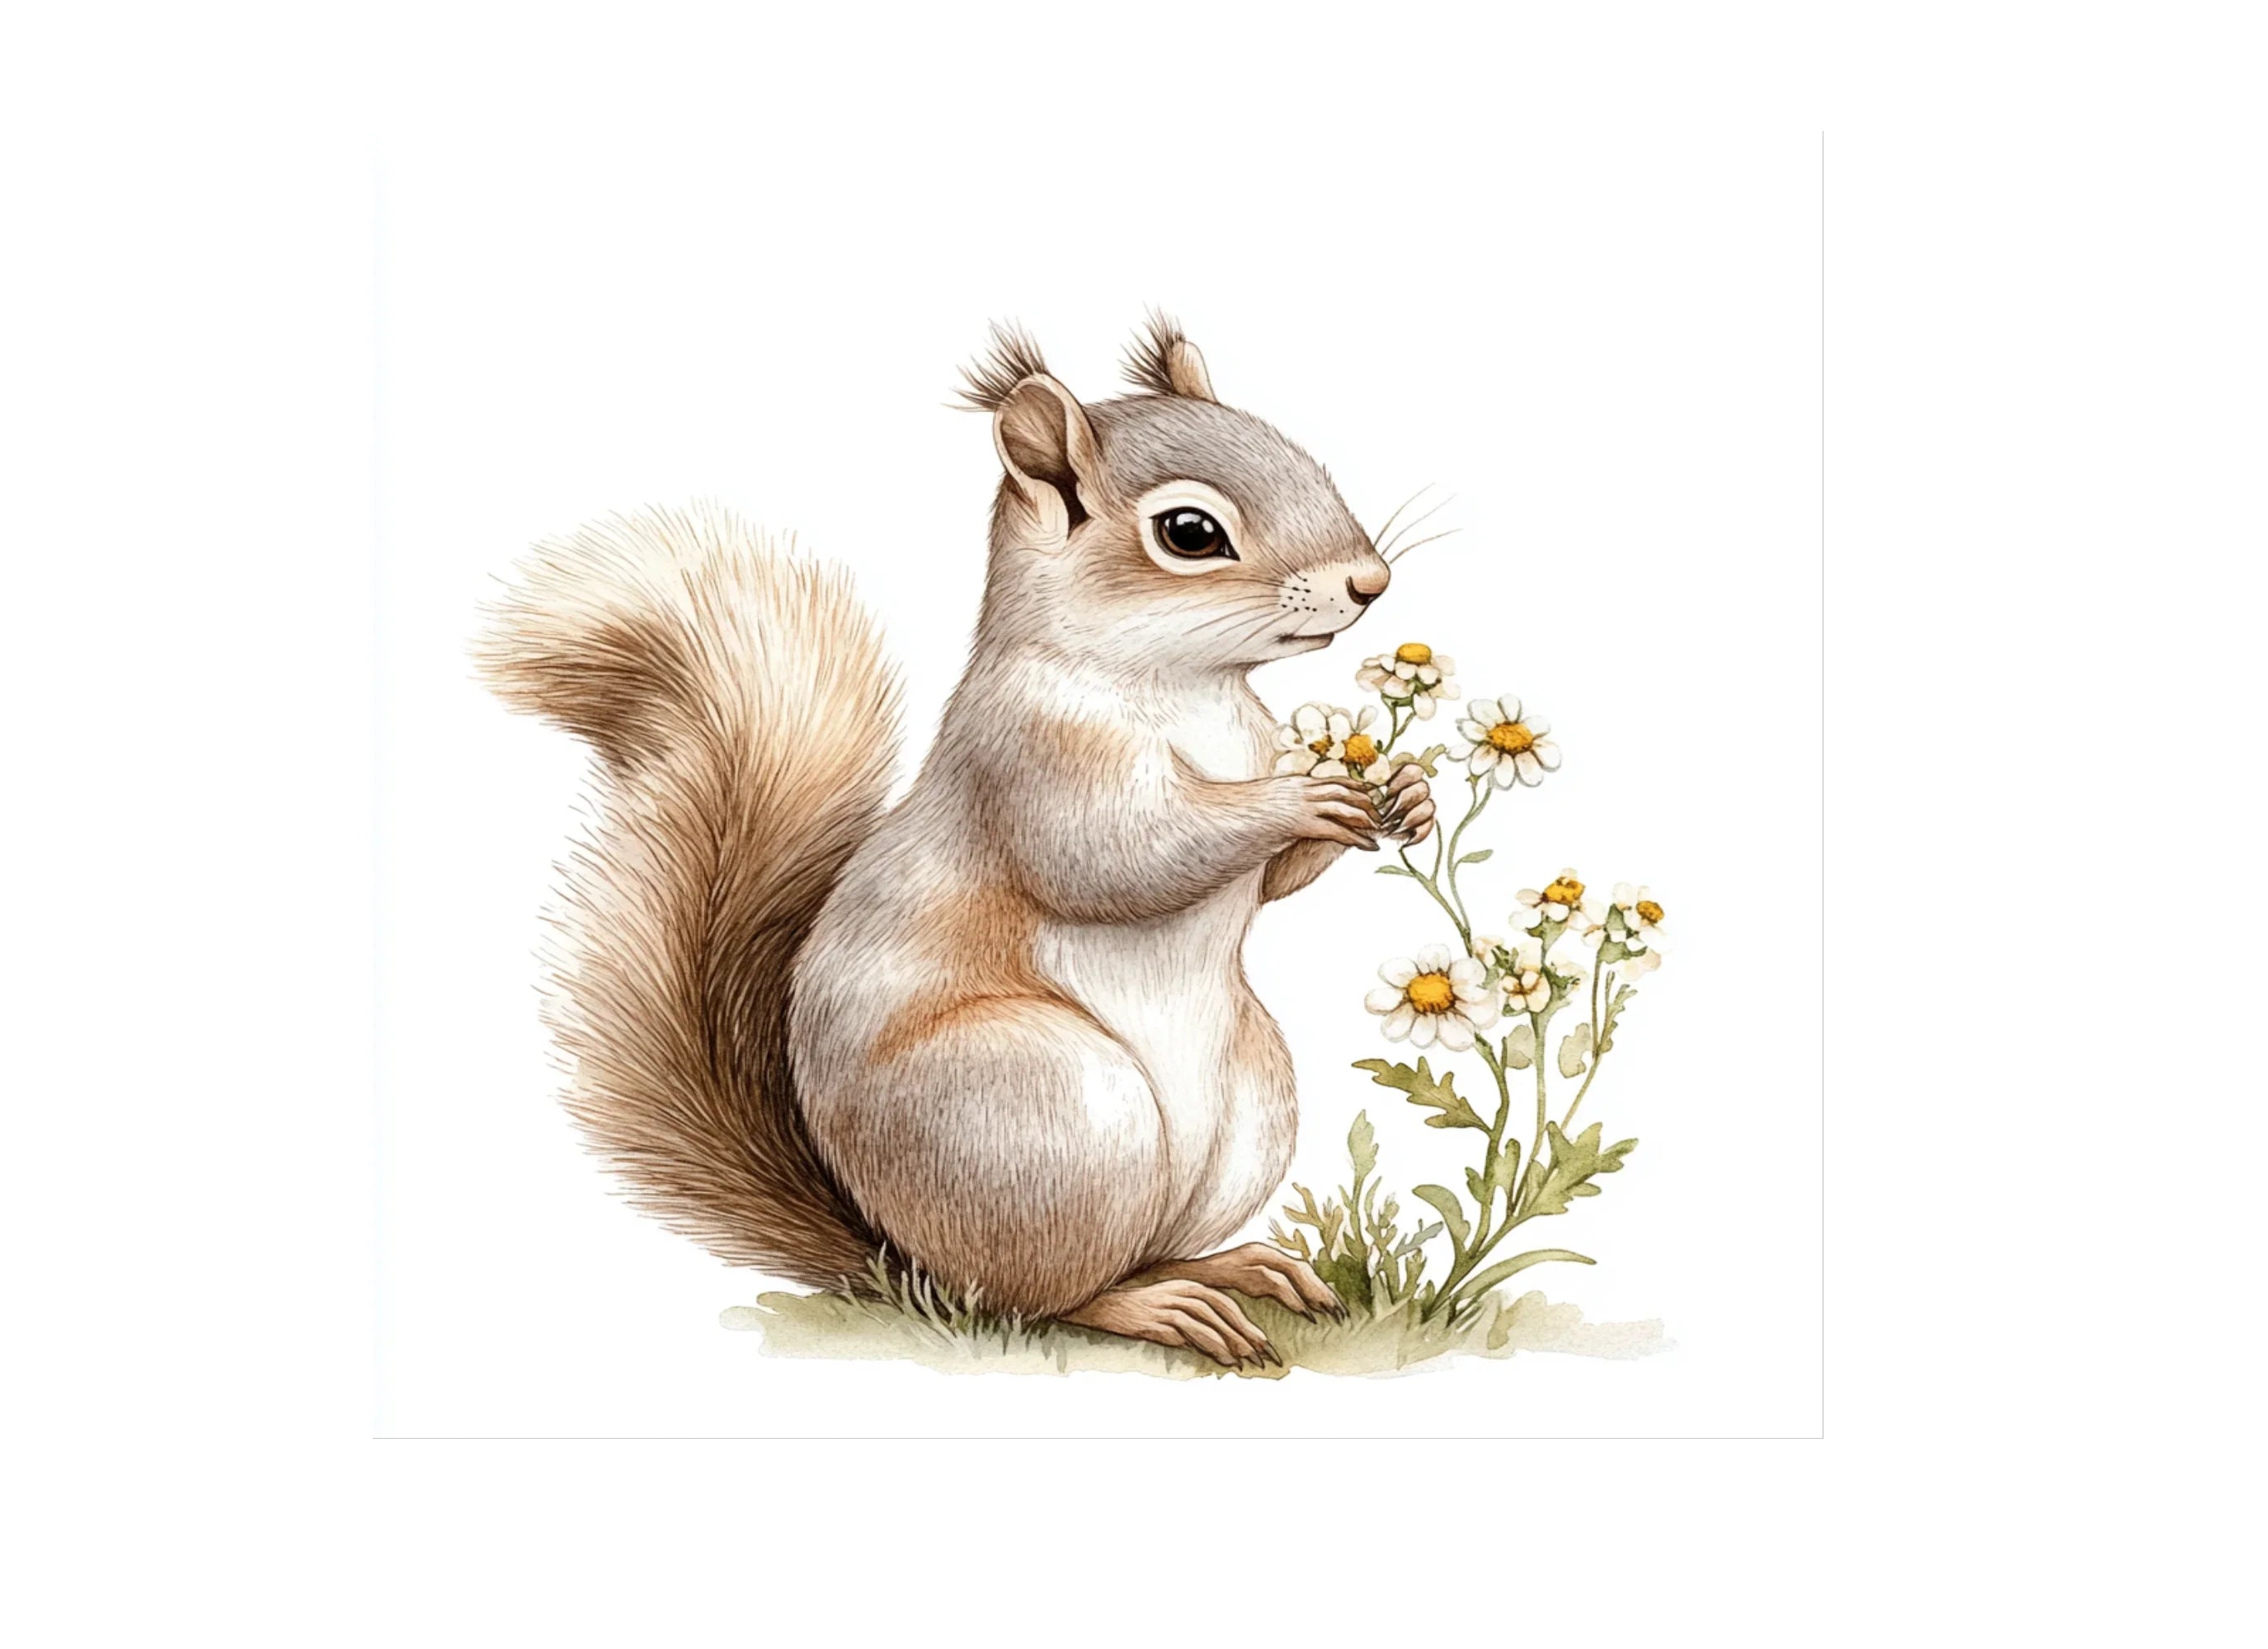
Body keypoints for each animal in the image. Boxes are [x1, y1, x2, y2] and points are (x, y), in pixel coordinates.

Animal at [476, 315, 1436, 1368]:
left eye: (1304, 456)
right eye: (1190, 532)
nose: (1371, 583)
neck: (1185, 687)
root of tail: (900, 1254)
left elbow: (1268, 887)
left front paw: (1404, 791)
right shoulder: (1027, 762)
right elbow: (1118, 857)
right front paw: (1301, 797)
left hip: (1246, 1103)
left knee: (1148, 1248)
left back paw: (1237, 1266)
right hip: (1038, 1111)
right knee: (1046, 1292)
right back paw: (1154, 1307)